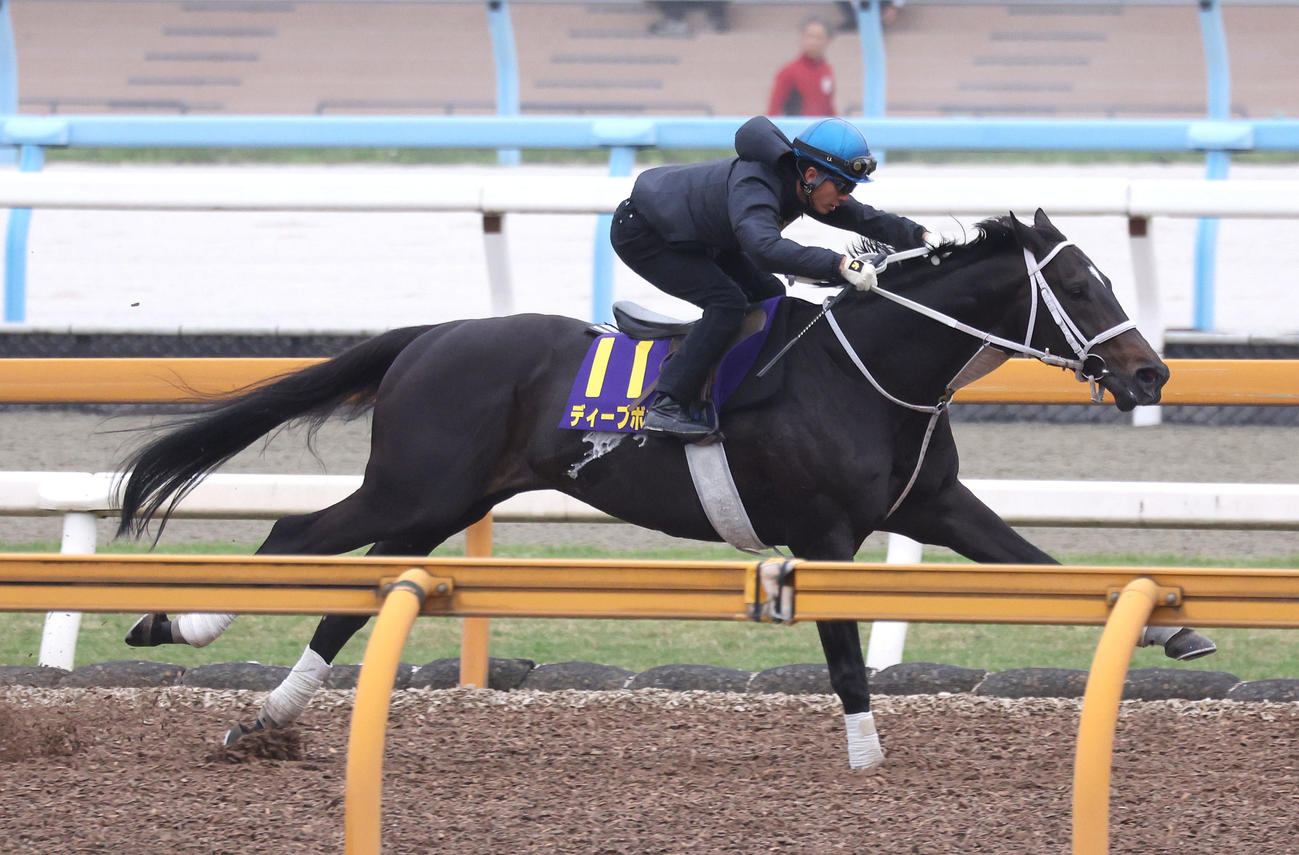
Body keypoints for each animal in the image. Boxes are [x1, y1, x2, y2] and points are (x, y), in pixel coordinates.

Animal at [115, 209, 1214, 769]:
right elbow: (844, 654)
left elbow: (1043, 564)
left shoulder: (931, 507)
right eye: (1077, 287)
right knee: (296, 529)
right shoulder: (822, 536)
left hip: (444, 504)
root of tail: (432, 336)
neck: (868, 367)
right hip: (415, 489)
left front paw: (1174, 625)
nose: (1151, 373)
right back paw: (184, 623)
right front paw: (865, 756)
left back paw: (265, 718)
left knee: (353, 599)